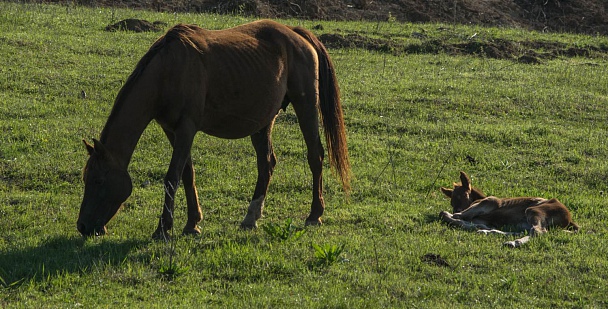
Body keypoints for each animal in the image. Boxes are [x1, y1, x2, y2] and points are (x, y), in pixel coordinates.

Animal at [76, 19, 352, 238]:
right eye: (86, 179)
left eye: (99, 180)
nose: (83, 226)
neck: (168, 71)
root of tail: (296, 34)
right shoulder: (171, 130)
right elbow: (187, 174)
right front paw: (192, 223)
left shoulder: (186, 128)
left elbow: (172, 177)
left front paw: (163, 228)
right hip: (263, 122)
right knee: (267, 164)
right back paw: (251, 217)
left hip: (306, 106)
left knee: (315, 156)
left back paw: (314, 214)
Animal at [440, 170, 576, 247]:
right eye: (452, 201)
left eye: (464, 195)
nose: (457, 209)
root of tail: (569, 219)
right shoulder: (482, 219)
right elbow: (472, 223)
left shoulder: (491, 201)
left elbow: (459, 216)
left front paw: (454, 215)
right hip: (526, 223)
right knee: (529, 231)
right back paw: (491, 233)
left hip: (534, 211)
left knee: (538, 231)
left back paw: (513, 242)